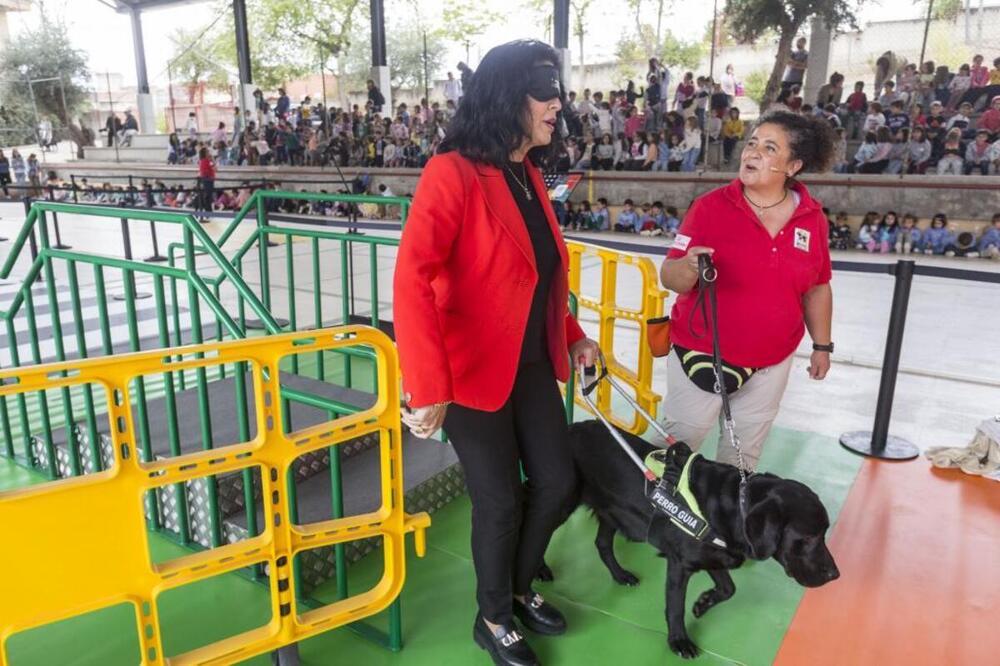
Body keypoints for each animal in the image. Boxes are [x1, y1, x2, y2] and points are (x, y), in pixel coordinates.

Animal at [544, 420, 840, 652]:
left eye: (824, 533)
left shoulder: (716, 554)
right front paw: (678, 641)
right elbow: (676, 607)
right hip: (562, 502)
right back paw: (542, 571)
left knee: (602, 544)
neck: (735, 506)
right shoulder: (680, 564)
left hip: (612, 512)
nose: (835, 575)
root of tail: (569, 427)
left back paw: (620, 575)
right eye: (810, 537)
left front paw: (704, 602)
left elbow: (729, 588)